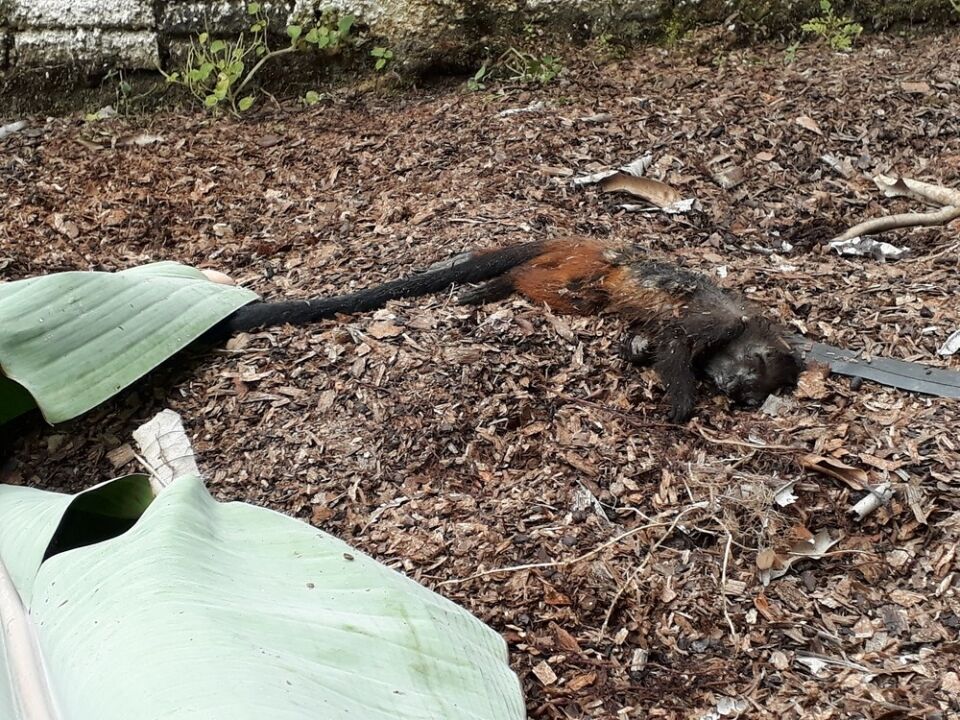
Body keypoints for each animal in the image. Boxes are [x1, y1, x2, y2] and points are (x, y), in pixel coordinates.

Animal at [208, 237, 802, 422]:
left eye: (750, 395)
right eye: (750, 376)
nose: (732, 388)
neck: (743, 326)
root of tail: (574, 241)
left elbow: (650, 341)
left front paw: (633, 349)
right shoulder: (719, 320)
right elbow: (677, 341)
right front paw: (682, 402)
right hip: (581, 271)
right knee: (553, 285)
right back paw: (500, 285)